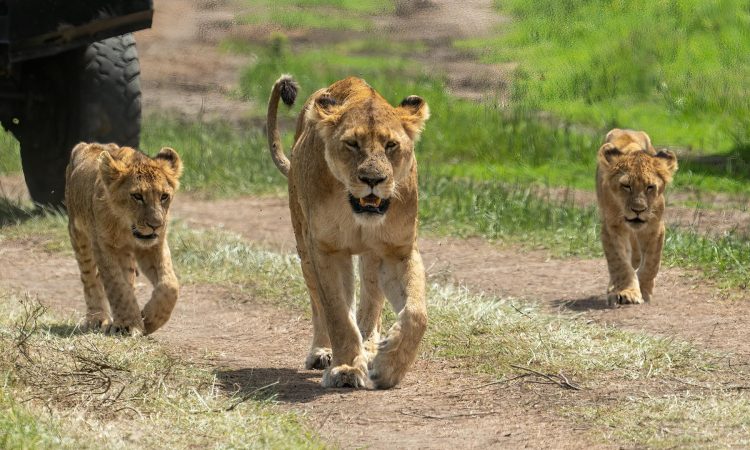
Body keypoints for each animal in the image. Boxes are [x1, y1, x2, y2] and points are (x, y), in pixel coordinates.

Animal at [65, 142, 182, 336]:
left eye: (164, 196)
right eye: (137, 196)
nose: (156, 225)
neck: (125, 227)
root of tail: (89, 144)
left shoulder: (154, 245)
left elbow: (169, 284)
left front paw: (150, 320)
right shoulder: (103, 246)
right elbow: (117, 286)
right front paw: (128, 324)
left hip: (125, 254)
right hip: (79, 235)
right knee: (89, 278)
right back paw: (97, 319)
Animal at [266, 75, 430, 389]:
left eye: (391, 145)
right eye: (352, 144)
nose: (373, 179)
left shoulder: (398, 250)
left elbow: (416, 313)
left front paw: (388, 366)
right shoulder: (326, 249)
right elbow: (337, 314)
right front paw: (346, 368)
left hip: (372, 256)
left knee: (371, 303)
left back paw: (370, 345)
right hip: (305, 247)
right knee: (319, 305)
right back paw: (323, 352)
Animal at [596, 129, 678, 306]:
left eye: (650, 187)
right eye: (626, 186)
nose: (638, 210)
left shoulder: (655, 227)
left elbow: (651, 263)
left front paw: (645, 291)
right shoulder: (611, 227)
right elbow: (619, 262)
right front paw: (627, 292)